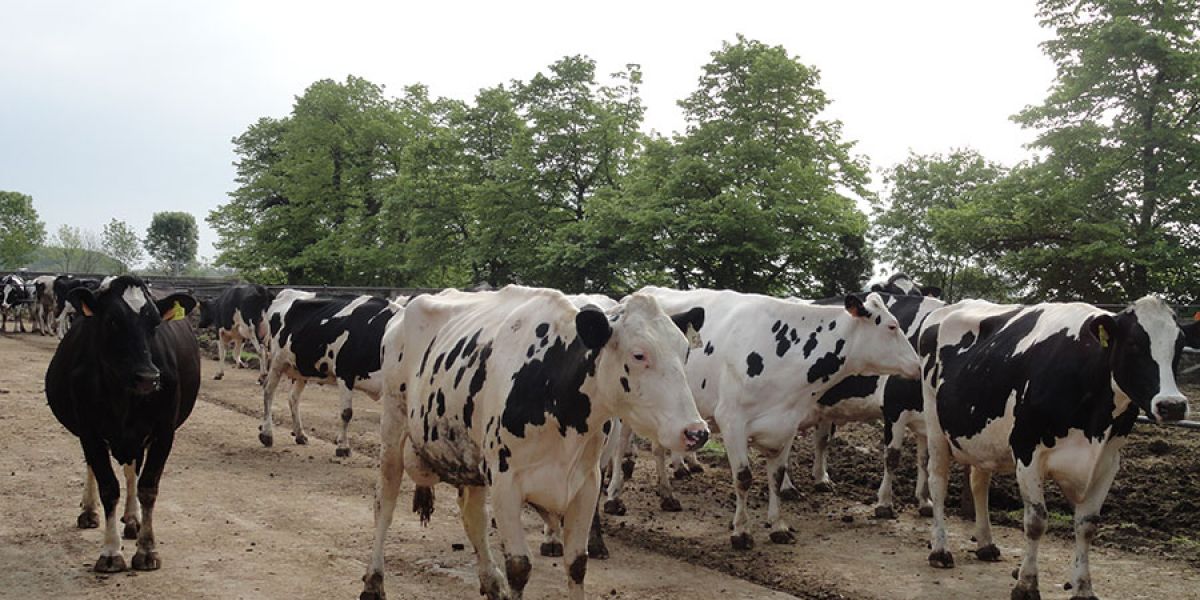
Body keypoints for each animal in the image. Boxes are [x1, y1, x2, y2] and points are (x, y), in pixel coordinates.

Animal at [44, 275, 199, 572]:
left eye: (155, 323)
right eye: (112, 321)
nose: (148, 377)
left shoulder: (163, 432)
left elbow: (147, 487)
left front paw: (147, 549)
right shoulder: (90, 432)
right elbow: (108, 487)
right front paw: (111, 552)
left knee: (131, 472)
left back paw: (132, 519)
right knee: (94, 468)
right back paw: (89, 511)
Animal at [260, 289, 406, 457]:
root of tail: (286, 292)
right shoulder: (345, 372)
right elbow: (346, 413)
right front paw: (343, 447)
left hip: (302, 367)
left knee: (293, 397)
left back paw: (300, 435)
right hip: (277, 361)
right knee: (268, 391)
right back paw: (266, 435)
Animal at [359, 285, 709, 600]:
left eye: (685, 352)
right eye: (638, 354)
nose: (696, 432)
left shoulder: (586, 484)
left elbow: (577, 563)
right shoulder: (506, 483)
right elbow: (519, 567)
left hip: (470, 457)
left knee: (473, 517)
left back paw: (491, 582)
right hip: (393, 428)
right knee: (384, 504)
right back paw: (374, 582)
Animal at [613, 287, 920, 550]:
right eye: (892, 326)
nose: (918, 364)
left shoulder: (786, 424)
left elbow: (776, 475)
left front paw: (778, 526)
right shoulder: (732, 421)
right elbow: (743, 478)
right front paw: (741, 531)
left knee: (658, 448)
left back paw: (667, 494)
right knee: (621, 446)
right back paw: (614, 496)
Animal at [920, 296, 1197, 600]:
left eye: (1180, 344)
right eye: (1134, 343)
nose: (1172, 405)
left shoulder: (1107, 461)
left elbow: (1087, 525)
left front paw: (1083, 588)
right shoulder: (1027, 450)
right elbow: (1036, 522)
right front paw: (1026, 585)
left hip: (983, 439)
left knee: (979, 483)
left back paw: (985, 544)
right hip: (935, 425)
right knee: (938, 482)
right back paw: (940, 550)